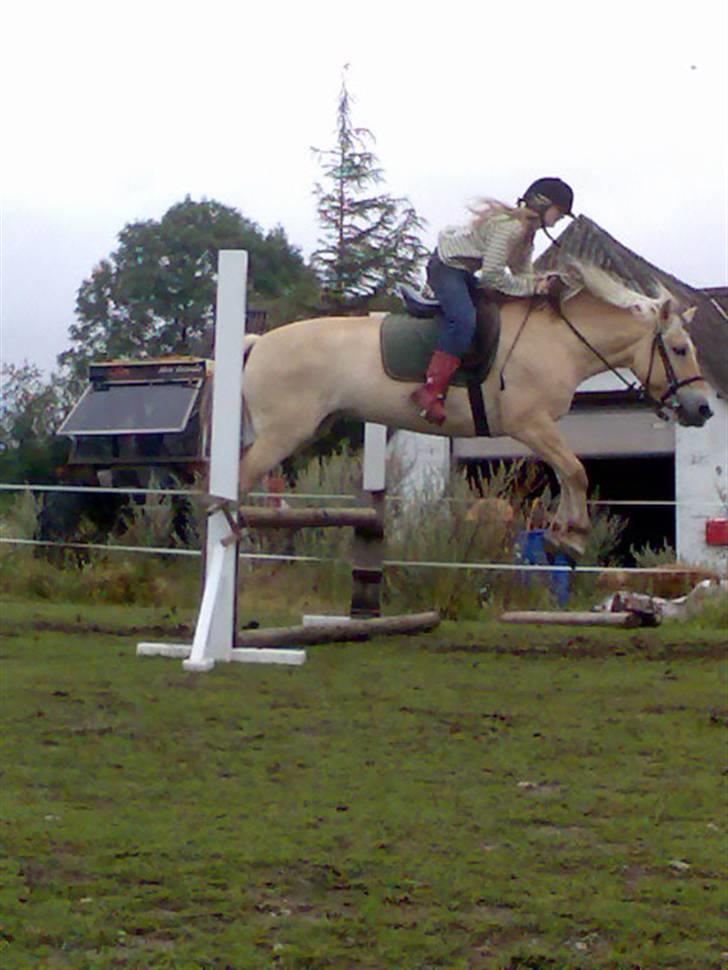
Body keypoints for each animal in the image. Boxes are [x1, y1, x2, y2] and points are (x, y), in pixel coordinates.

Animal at [237, 258, 712, 560]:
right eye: (680, 349)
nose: (703, 408)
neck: (559, 340)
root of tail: (259, 343)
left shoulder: (544, 429)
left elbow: (567, 473)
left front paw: (562, 533)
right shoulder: (530, 424)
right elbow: (576, 472)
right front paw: (573, 537)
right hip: (282, 435)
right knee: (237, 483)